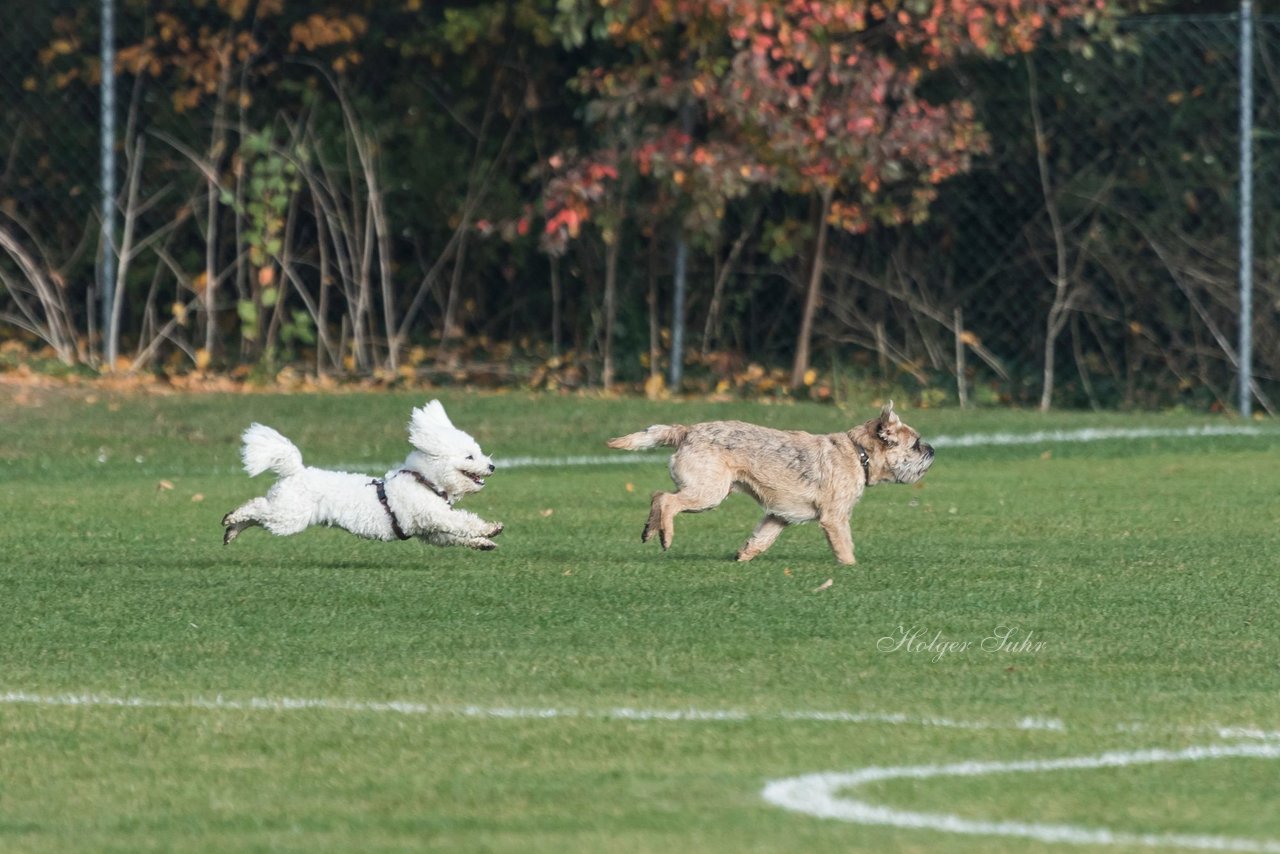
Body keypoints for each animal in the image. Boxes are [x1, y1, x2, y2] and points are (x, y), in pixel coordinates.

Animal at [222, 399, 501, 547]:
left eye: (478, 452)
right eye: (469, 456)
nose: (492, 466)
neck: (425, 481)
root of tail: (296, 472)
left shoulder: (430, 530)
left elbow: (456, 536)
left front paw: (483, 543)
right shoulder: (433, 515)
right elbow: (463, 522)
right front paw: (490, 529)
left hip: (286, 514)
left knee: (256, 516)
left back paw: (232, 531)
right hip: (289, 516)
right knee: (257, 508)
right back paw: (231, 517)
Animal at [604, 402, 936, 563]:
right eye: (915, 444)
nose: (933, 450)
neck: (858, 453)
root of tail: (686, 431)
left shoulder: (778, 515)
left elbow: (762, 539)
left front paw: (743, 556)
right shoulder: (835, 518)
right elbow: (845, 547)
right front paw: (850, 567)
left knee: (657, 496)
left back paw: (650, 530)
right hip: (708, 493)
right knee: (666, 499)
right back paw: (665, 536)